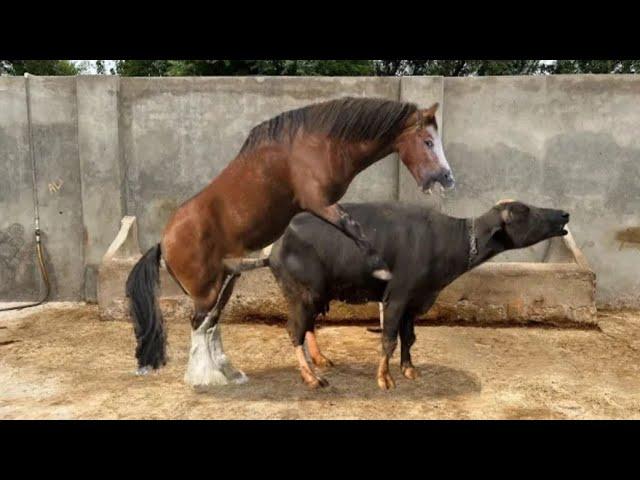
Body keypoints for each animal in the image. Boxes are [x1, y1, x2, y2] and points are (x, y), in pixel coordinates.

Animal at [126, 94, 456, 390]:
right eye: (428, 142)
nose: (448, 178)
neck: (315, 145)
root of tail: (164, 241)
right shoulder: (318, 202)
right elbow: (353, 227)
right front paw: (381, 269)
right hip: (204, 292)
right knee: (198, 326)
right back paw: (203, 377)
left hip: (225, 282)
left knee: (211, 325)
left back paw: (228, 373)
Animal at [266, 199, 568, 390]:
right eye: (524, 210)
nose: (564, 214)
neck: (447, 240)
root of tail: (275, 249)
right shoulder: (396, 297)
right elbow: (389, 338)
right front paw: (384, 379)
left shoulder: (416, 301)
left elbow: (408, 337)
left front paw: (409, 369)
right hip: (302, 295)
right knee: (294, 331)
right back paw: (312, 378)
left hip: (317, 295)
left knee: (309, 327)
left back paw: (321, 360)